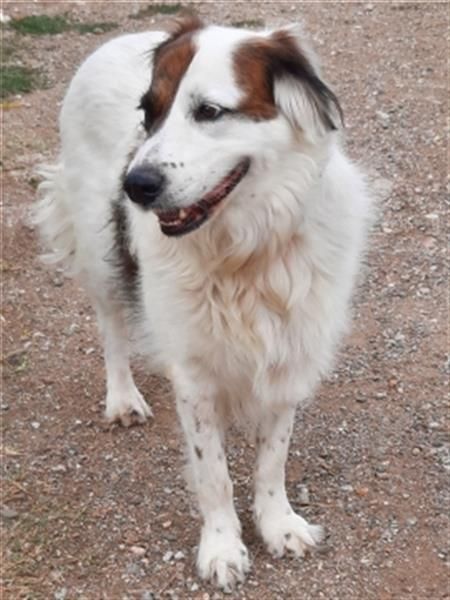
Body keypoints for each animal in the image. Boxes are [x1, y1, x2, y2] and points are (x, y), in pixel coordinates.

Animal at [35, 16, 372, 591]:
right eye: (148, 112)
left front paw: (278, 523)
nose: (134, 186)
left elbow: (272, 459)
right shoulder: (194, 377)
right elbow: (213, 472)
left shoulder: (289, 352)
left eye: (209, 112)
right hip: (101, 255)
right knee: (112, 327)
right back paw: (122, 397)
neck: (245, 253)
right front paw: (222, 547)